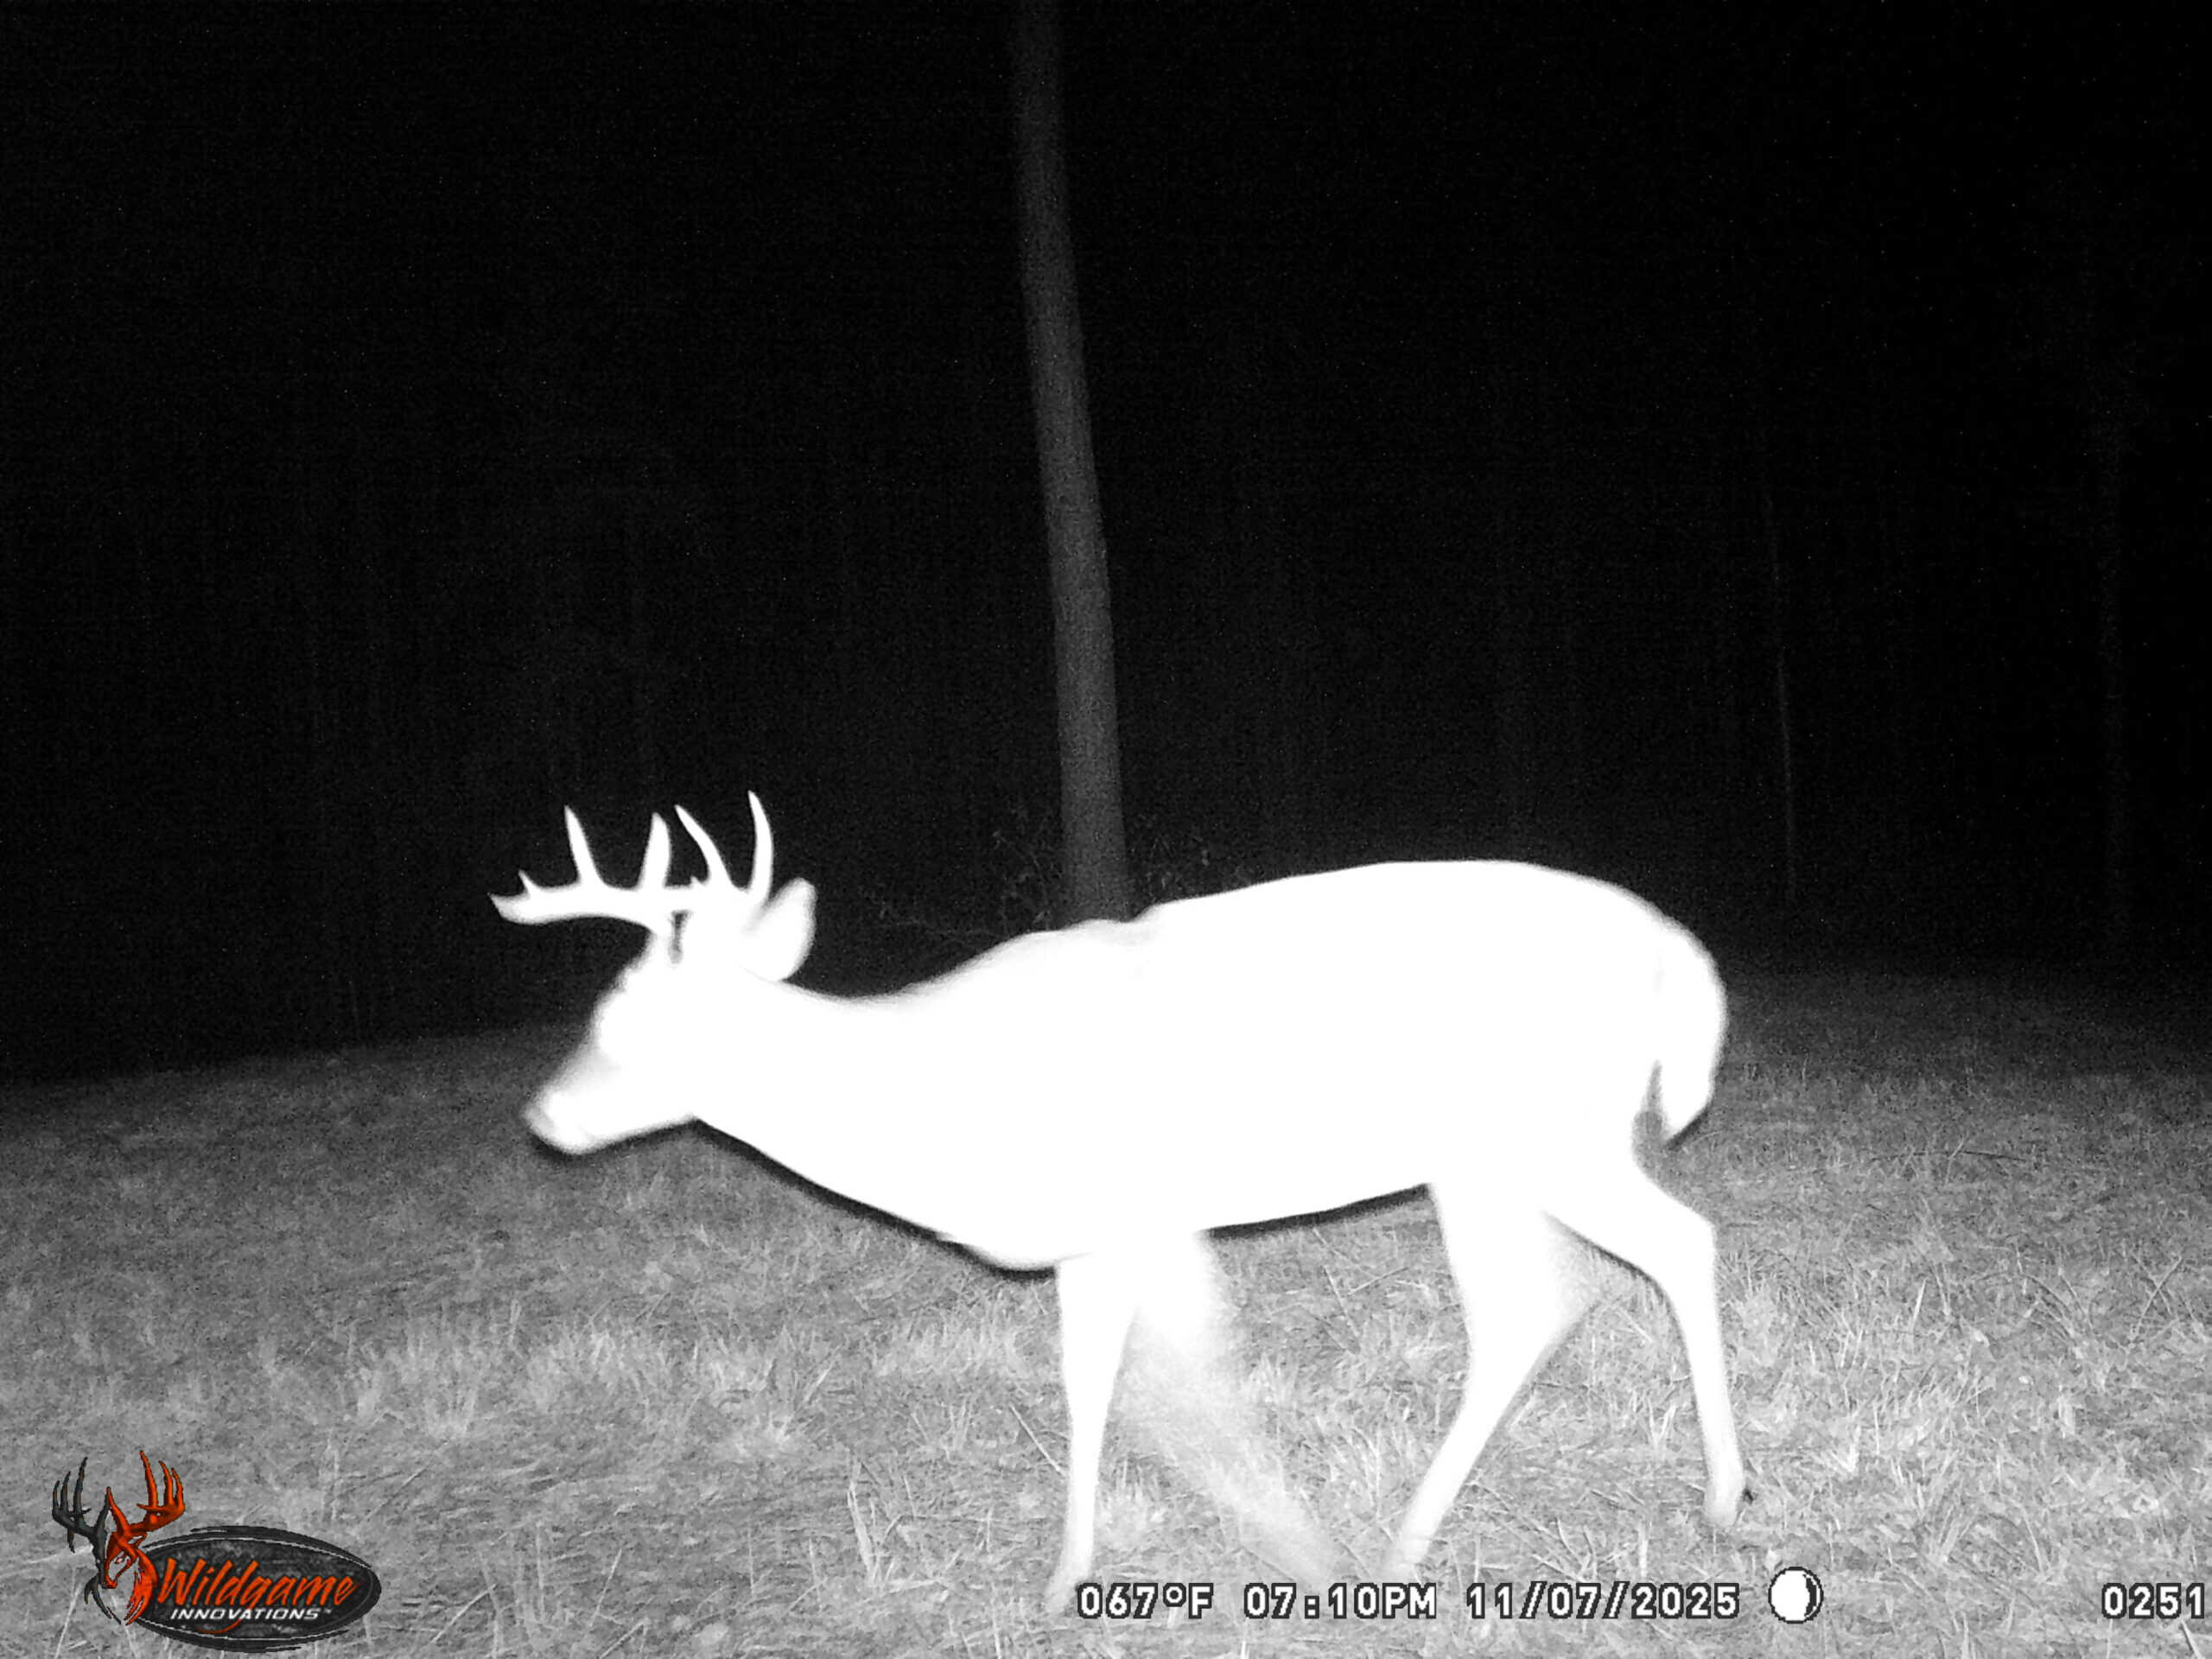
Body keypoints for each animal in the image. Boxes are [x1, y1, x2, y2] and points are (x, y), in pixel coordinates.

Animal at [495, 796, 1749, 1606]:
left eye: (621, 1020)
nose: (543, 1117)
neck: (927, 1101)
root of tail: (1682, 955)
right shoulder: (1091, 1242)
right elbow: (1092, 1387)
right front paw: (1064, 1578)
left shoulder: (1153, 1216)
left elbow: (1194, 1390)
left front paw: (1293, 1555)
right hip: (1485, 1159)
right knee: (1542, 1303)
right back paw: (1411, 1541)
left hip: (1546, 1131)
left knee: (1668, 1247)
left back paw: (1717, 1501)